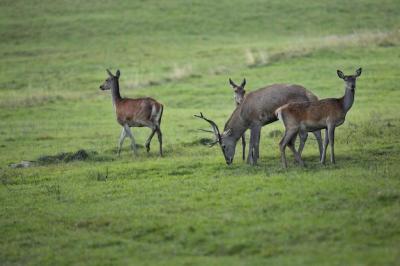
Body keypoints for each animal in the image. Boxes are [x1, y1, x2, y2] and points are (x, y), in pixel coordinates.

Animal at [195, 83, 324, 165]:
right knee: (315, 132)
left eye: (223, 145)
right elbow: (255, 141)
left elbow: (253, 142)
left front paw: (251, 162)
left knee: (315, 133)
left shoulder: (256, 122)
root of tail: (311, 94)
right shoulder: (257, 125)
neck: (243, 114)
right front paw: (252, 160)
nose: (228, 161)